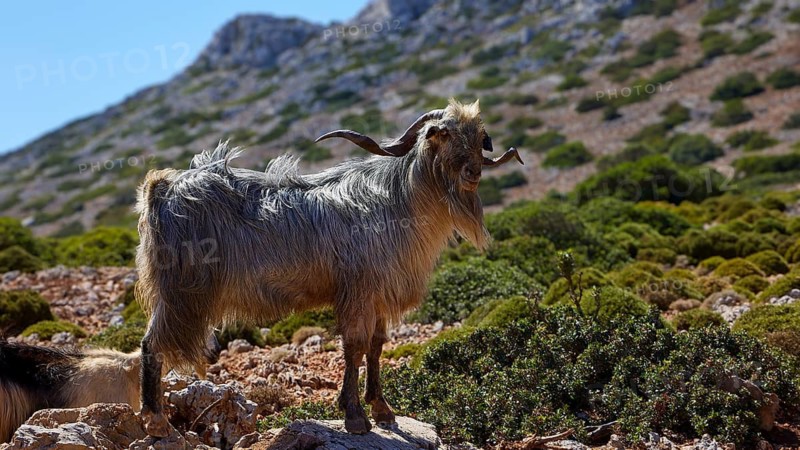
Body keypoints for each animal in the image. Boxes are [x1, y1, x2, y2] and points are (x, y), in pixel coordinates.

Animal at [135, 99, 522, 436]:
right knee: (151, 344)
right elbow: (354, 346)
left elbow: (376, 345)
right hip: (182, 291)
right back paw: (156, 422)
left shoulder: (378, 296)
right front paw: (355, 416)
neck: (397, 201)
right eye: (439, 133)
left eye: (479, 135)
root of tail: (160, 188)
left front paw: (382, 409)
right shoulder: (358, 291)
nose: (472, 171)